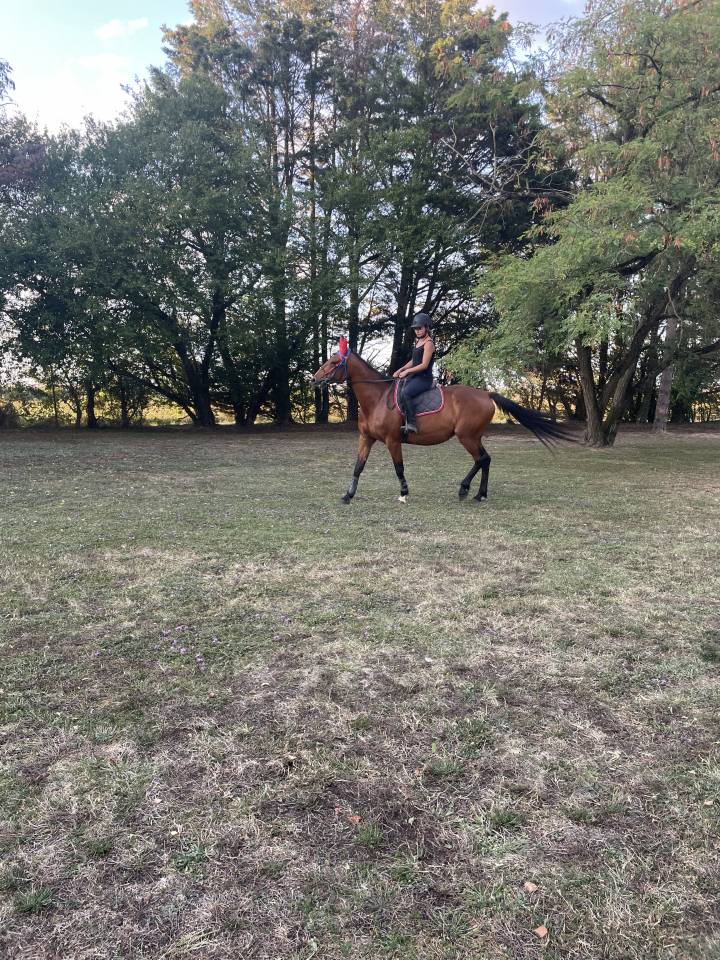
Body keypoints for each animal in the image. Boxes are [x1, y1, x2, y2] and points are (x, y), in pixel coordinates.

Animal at [313, 337, 575, 504]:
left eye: (334, 363)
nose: (314, 379)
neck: (376, 399)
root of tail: (486, 394)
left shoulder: (392, 440)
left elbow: (399, 468)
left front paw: (404, 493)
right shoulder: (366, 438)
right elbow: (358, 466)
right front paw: (348, 495)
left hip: (466, 436)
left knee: (481, 459)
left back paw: (465, 490)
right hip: (473, 436)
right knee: (486, 459)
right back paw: (479, 493)